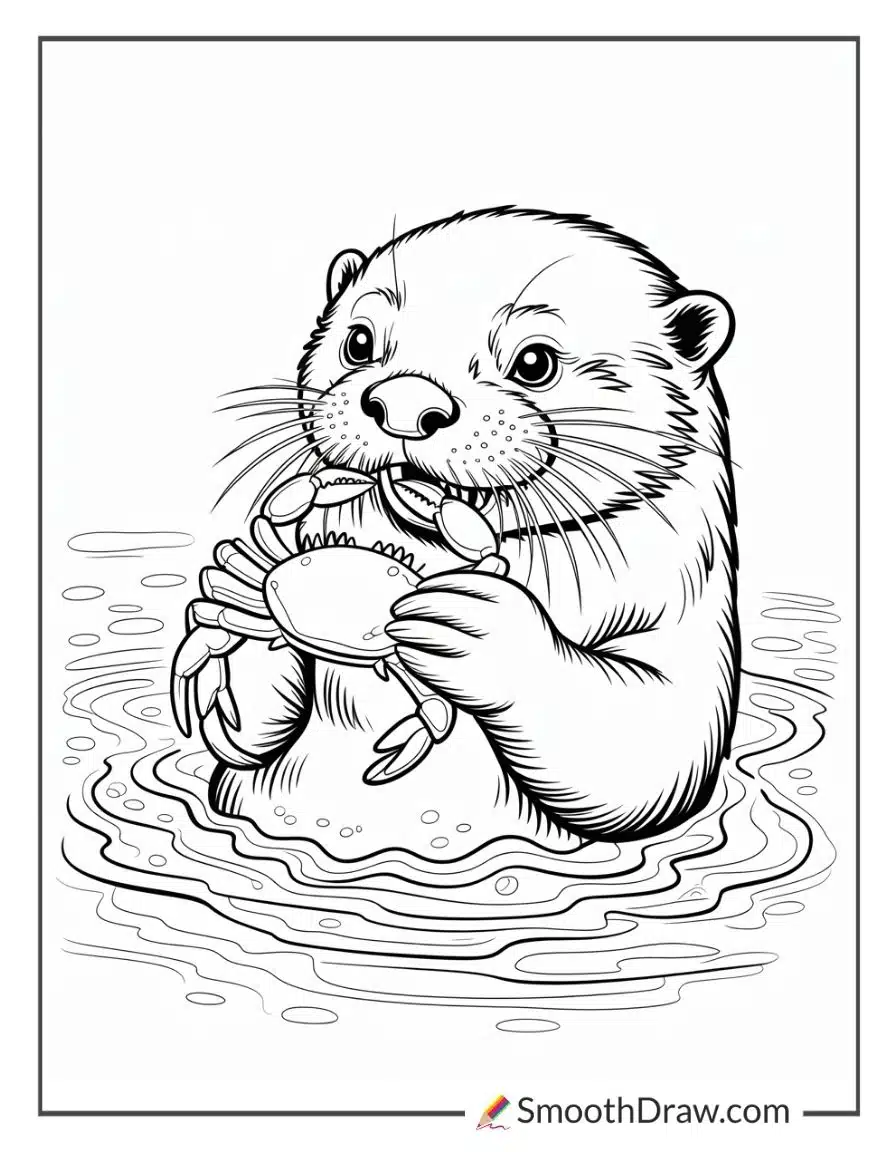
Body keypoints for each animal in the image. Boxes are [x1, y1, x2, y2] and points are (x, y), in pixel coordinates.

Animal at [190, 207, 738, 856]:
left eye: (534, 362)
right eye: (359, 342)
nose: (405, 400)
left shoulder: (683, 594)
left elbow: (658, 746)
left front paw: (480, 626)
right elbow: (243, 729)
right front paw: (244, 593)